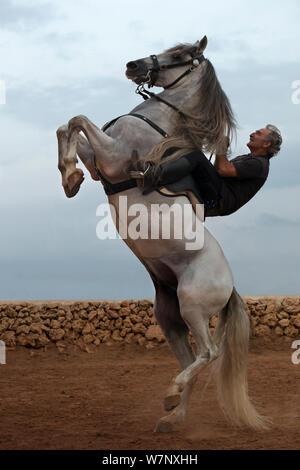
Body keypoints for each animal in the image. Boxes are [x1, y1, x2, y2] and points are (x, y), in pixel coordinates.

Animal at [57, 36, 268, 434]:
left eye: (181, 55)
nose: (133, 65)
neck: (157, 121)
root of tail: (230, 287)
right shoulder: (99, 160)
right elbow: (68, 129)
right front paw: (70, 178)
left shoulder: (113, 157)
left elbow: (77, 120)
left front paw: (68, 175)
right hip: (170, 317)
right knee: (191, 362)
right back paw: (172, 416)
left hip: (192, 303)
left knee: (208, 353)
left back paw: (172, 394)